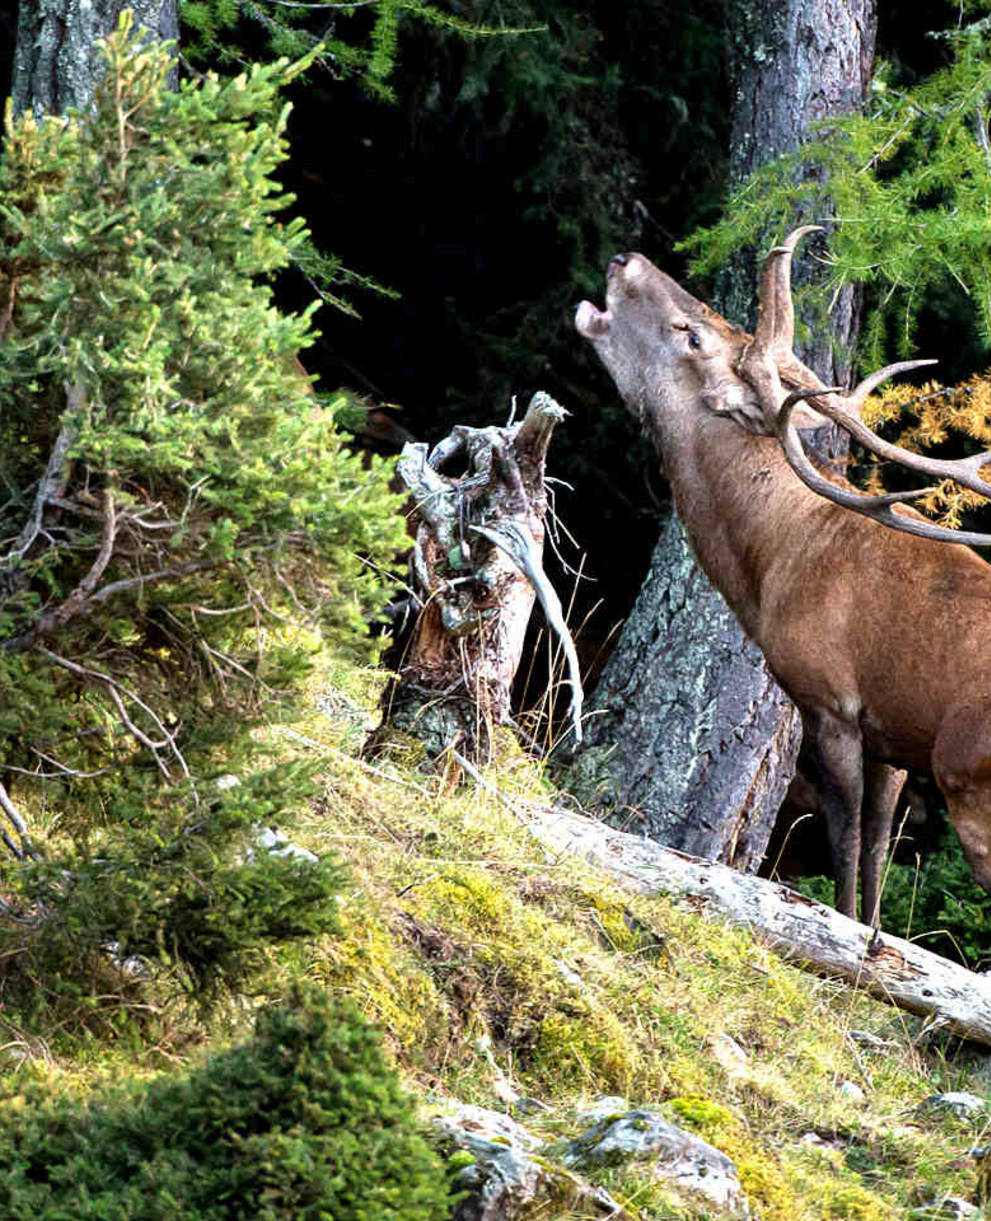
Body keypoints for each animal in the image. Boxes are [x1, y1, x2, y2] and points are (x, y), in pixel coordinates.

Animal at [576, 226, 991, 926]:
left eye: (692, 335)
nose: (625, 260)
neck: (770, 561)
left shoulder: (829, 700)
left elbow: (846, 844)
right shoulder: (892, 732)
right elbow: (877, 851)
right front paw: (871, 936)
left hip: (968, 780)